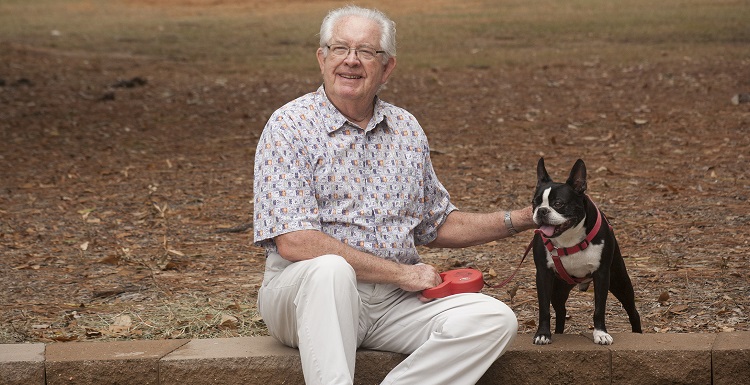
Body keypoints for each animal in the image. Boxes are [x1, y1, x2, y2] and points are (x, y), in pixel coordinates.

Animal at [532, 158, 644, 344]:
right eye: (534, 202)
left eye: (558, 204)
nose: (541, 211)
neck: (569, 238)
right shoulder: (543, 274)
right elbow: (544, 308)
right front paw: (542, 334)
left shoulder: (602, 275)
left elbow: (599, 308)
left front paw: (601, 333)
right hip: (559, 288)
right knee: (561, 311)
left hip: (619, 281)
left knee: (633, 311)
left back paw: (638, 333)